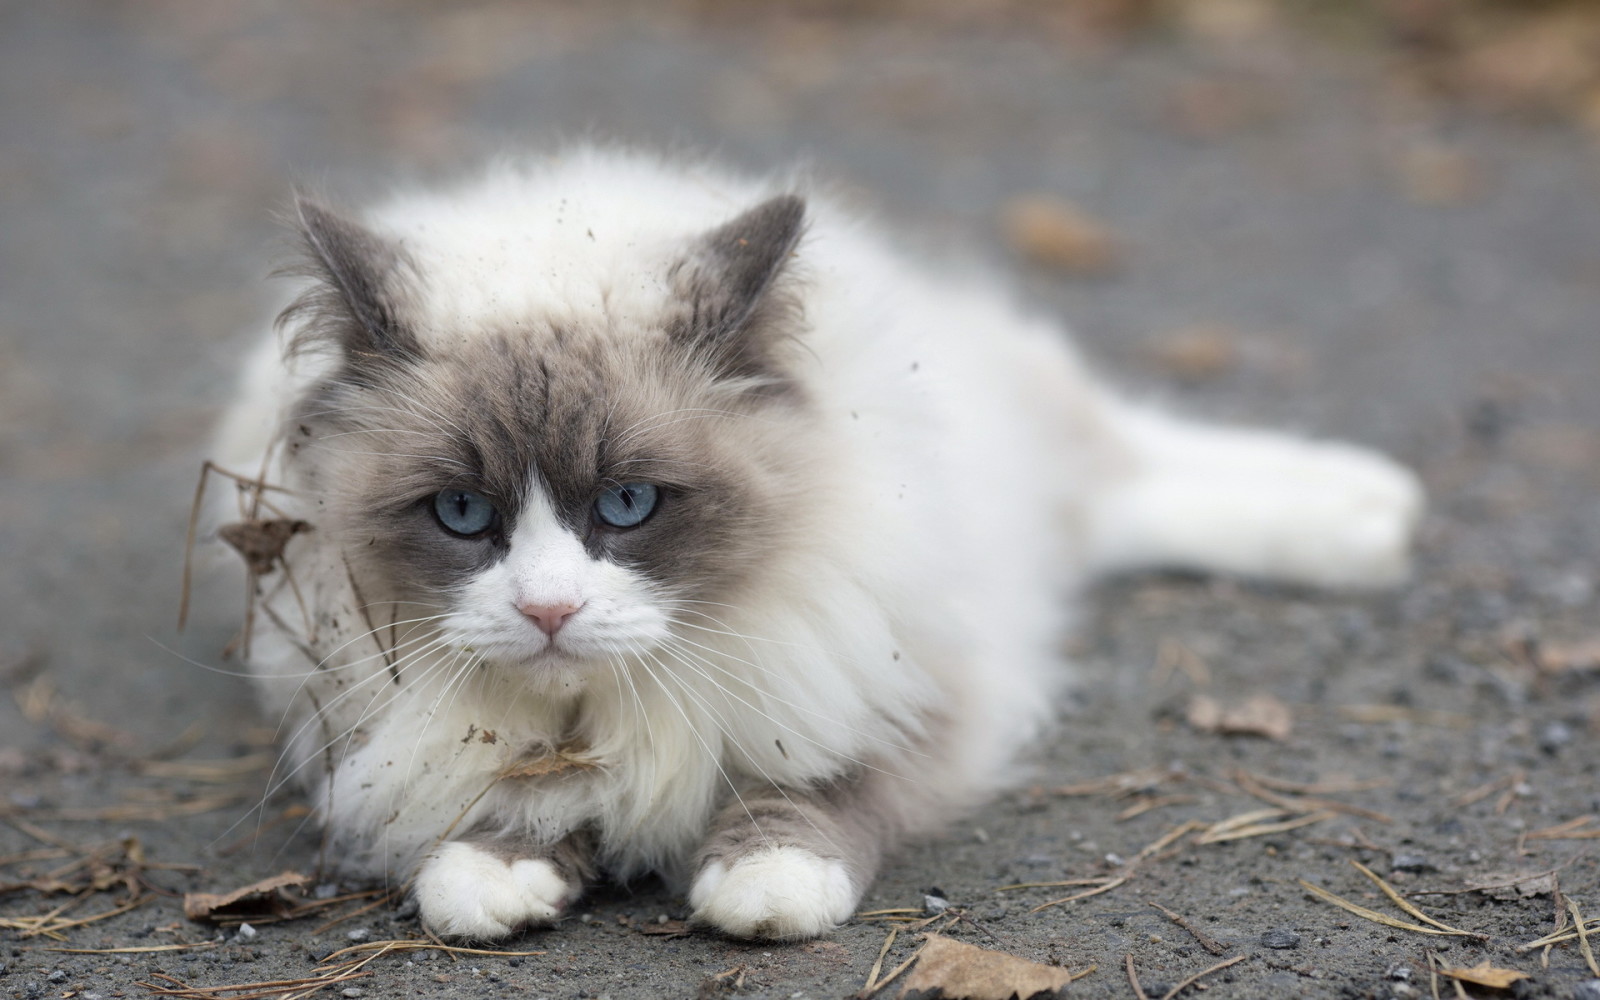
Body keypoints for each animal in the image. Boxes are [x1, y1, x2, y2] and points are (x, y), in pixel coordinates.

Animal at [212, 144, 1427, 940]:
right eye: (463, 515)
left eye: (630, 505)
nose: (548, 610)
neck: (612, 707)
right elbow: (492, 813)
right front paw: (499, 877)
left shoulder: (900, 688)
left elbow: (818, 794)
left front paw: (761, 888)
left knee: (1134, 467)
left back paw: (1371, 516)